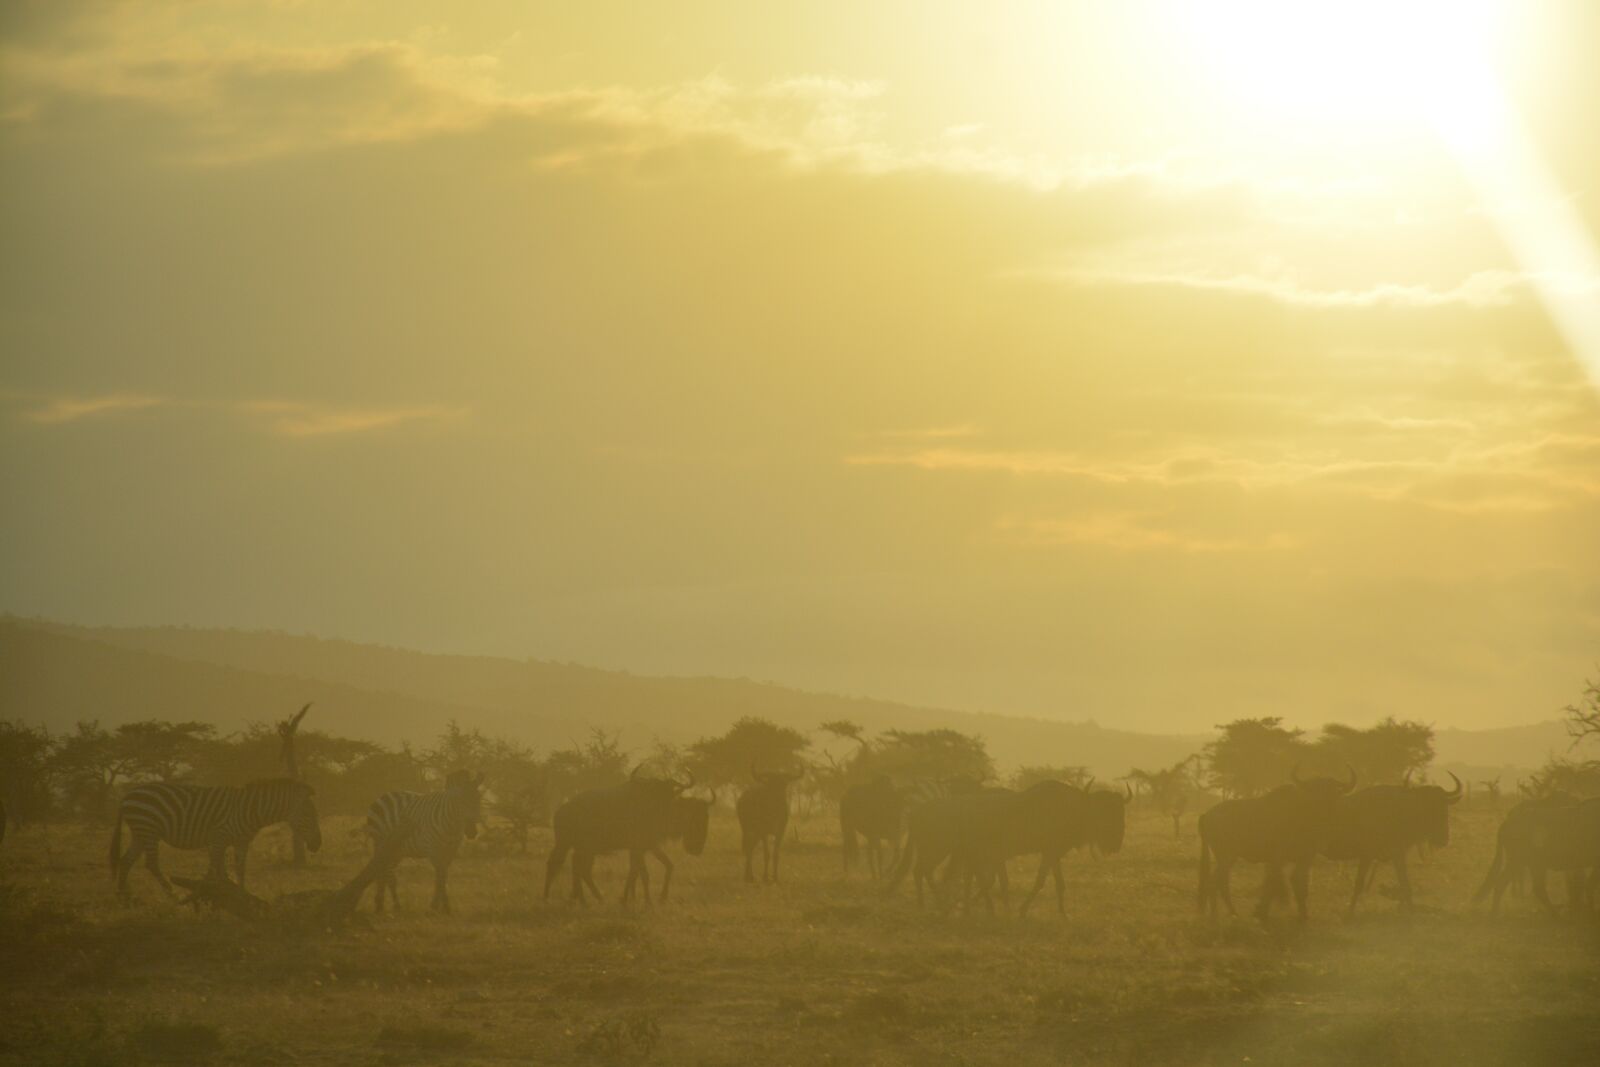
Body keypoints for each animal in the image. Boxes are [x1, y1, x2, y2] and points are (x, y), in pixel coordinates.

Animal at [110, 777, 321, 902]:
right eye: (308, 815)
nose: (318, 845)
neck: (252, 810)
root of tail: (127, 794)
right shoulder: (219, 838)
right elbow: (216, 872)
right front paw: (212, 896)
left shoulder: (241, 842)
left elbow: (239, 869)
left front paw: (242, 896)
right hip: (149, 829)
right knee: (151, 864)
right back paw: (172, 895)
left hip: (140, 832)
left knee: (126, 860)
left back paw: (123, 896)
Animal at [361, 771, 480, 915]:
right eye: (461, 802)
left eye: (478, 800)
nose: (472, 832)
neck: (452, 825)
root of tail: (383, 796)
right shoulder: (434, 850)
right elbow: (440, 875)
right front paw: (439, 905)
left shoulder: (450, 851)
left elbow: (443, 876)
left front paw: (441, 906)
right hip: (381, 842)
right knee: (386, 873)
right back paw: (395, 906)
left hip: (396, 850)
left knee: (385, 871)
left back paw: (380, 904)